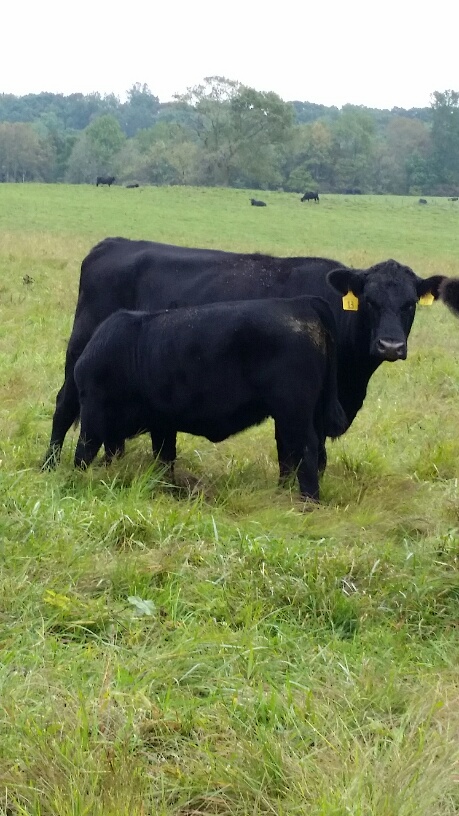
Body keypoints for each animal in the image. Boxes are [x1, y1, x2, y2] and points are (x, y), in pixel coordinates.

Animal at [42, 234, 446, 472]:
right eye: (370, 302)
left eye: (410, 304)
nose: (390, 346)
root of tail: (112, 243)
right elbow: (298, 451)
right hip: (79, 350)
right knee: (64, 405)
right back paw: (50, 466)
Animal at [73, 296, 348, 500]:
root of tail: (301, 302)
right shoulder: (162, 423)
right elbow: (163, 458)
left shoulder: (93, 409)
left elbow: (84, 451)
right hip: (305, 413)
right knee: (302, 453)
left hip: (293, 411)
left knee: (305, 449)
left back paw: (307, 501)